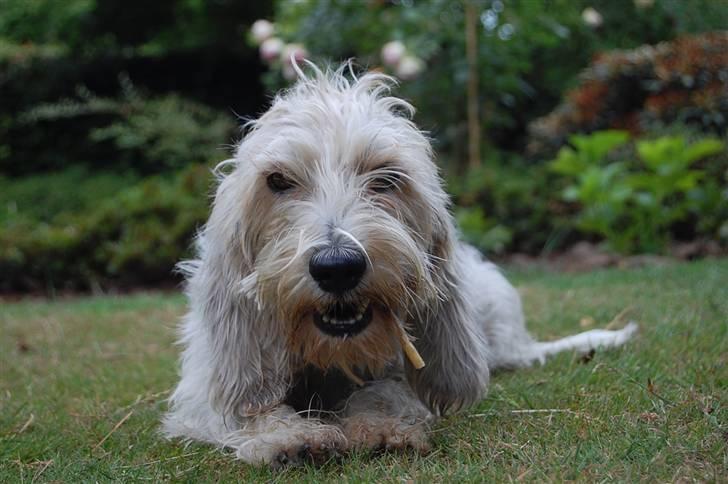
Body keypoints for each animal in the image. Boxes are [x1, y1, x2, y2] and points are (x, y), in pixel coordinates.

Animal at [164, 62, 636, 466]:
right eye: (277, 180)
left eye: (386, 178)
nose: (338, 267)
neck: (331, 357)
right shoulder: (206, 382)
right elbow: (247, 406)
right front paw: (286, 434)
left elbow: (388, 390)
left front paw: (380, 425)